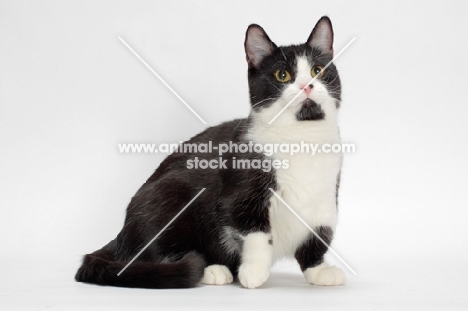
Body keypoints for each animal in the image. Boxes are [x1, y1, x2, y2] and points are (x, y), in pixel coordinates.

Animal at [77, 15, 346, 290]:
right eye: (283, 75)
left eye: (317, 70)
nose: (307, 86)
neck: (301, 137)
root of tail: (121, 236)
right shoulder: (239, 195)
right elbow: (255, 232)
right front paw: (254, 271)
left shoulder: (325, 199)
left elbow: (318, 235)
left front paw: (318, 269)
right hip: (169, 192)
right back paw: (211, 269)